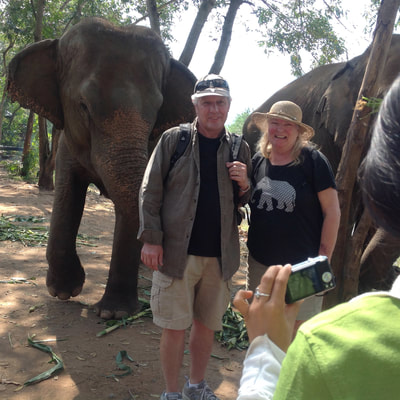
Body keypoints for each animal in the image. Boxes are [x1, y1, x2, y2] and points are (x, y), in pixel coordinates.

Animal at [6, 17, 197, 319]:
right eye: (83, 106)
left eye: (157, 109)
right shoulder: (68, 140)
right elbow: (67, 193)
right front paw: (64, 291)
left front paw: (113, 313)